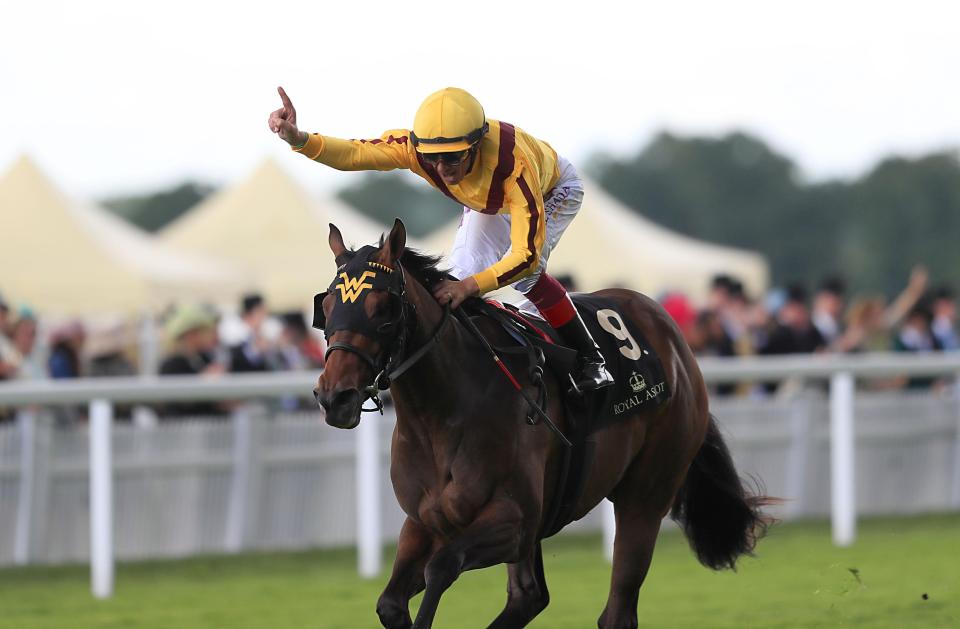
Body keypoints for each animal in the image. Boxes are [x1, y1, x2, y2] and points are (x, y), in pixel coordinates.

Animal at [316, 220, 772, 628]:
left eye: (382, 309)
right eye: (327, 307)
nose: (335, 397)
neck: (442, 416)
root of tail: (676, 343)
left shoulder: (514, 520)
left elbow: (442, 567)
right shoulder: (424, 521)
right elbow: (391, 604)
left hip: (646, 494)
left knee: (617, 611)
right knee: (529, 598)